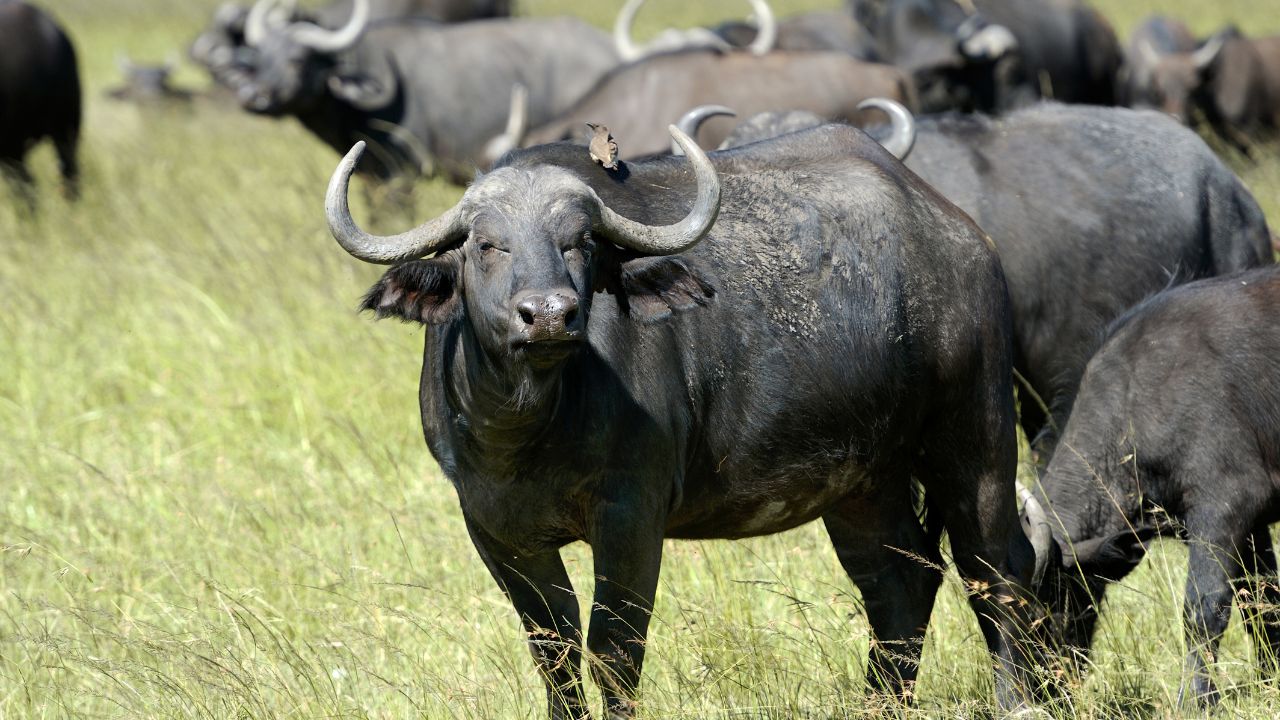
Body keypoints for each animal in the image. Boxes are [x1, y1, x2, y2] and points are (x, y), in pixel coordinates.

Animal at [324, 125, 1050, 715]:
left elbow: (613, 649)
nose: (550, 314)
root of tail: (961, 236)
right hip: (862, 481)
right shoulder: (496, 530)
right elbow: (554, 652)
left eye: (578, 242)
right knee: (900, 582)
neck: (529, 431)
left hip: (973, 433)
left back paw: (1017, 700)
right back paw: (880, 704)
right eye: (486, 244)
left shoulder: (632, 517)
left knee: (996, 565)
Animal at [1024, 265, 1280, 707]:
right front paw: (1270, 678)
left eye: (1042, 609)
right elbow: (1263, 601)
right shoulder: (1252, 528)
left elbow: (1203, 610)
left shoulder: (1224, 509)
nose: (1042, 691)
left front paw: (1195, 698)